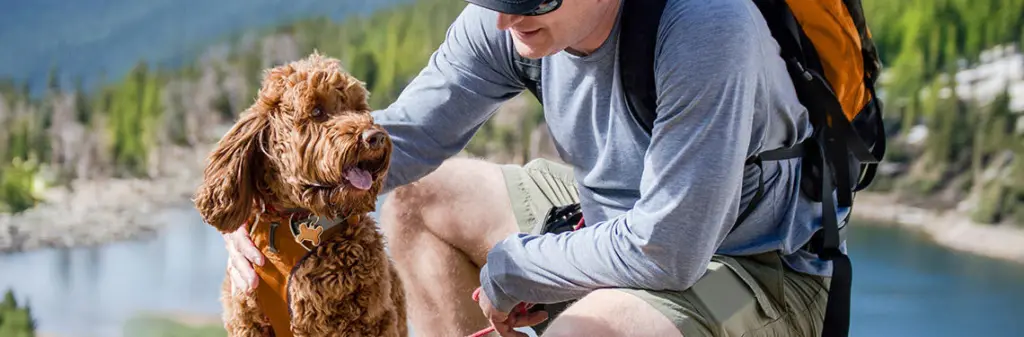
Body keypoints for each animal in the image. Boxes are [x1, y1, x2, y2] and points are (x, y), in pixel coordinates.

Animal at [193, 51, 405, 335]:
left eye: (358, 108)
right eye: (317, 111)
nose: (375, 137)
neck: (289, 222)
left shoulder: (367, 322)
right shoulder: (247, 321)